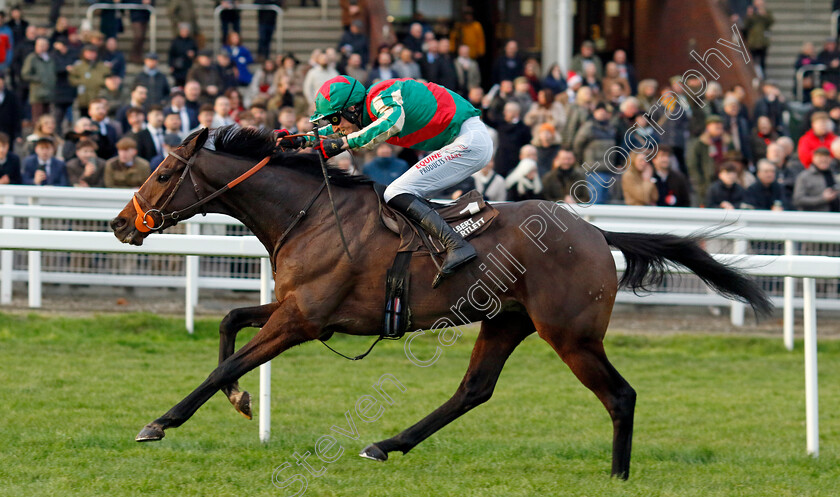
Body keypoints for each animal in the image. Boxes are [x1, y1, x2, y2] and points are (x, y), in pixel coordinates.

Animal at [108, 126, 772, 478]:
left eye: (163, 173)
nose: (119, 224)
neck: (311, 213)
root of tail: (592, 231)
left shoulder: (304, 319)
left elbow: (221, 363)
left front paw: (159, 422)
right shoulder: (300, 310)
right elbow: (228, 324)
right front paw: (243, 400)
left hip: (571, 335)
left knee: (620, 395)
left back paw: (618, 474)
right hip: (505, 323)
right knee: (472, 391)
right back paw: (386, 443)